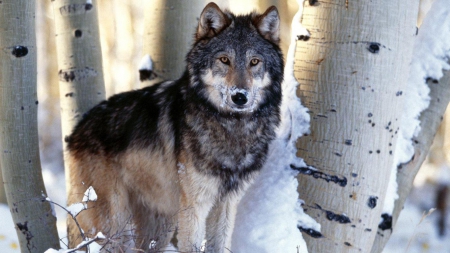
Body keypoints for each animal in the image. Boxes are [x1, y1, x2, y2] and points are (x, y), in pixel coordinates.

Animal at [66, 2, 284, 253]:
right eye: (224, 60)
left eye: (254, 62)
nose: (240, 96)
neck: (232, 127)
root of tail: (75, 132)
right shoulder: (194, 206)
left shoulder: (227, 205)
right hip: (112, 225)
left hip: (161, 224)